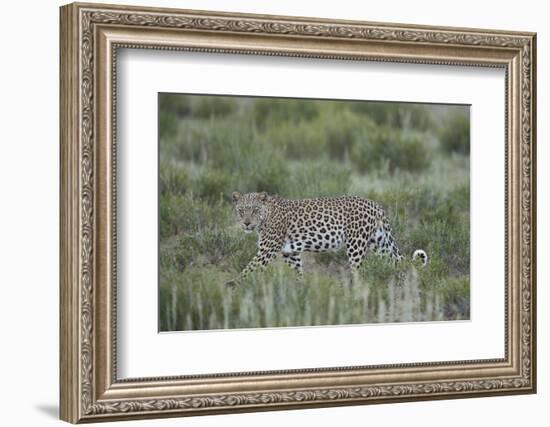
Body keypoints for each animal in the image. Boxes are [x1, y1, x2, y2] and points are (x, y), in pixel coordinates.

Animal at [226, 193, 430, 288]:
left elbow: (248, 269)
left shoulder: (266, 251)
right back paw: (405, 285)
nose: (246, 223)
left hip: (356, 245)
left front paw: (232, 285)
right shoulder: (289, 253)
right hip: (379, 242)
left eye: (254, 210)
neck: (266, 216)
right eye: (241, 210)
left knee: (358, 272)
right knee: (399, 262)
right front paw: (300, 289)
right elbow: (298, 272)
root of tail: (375, 204)